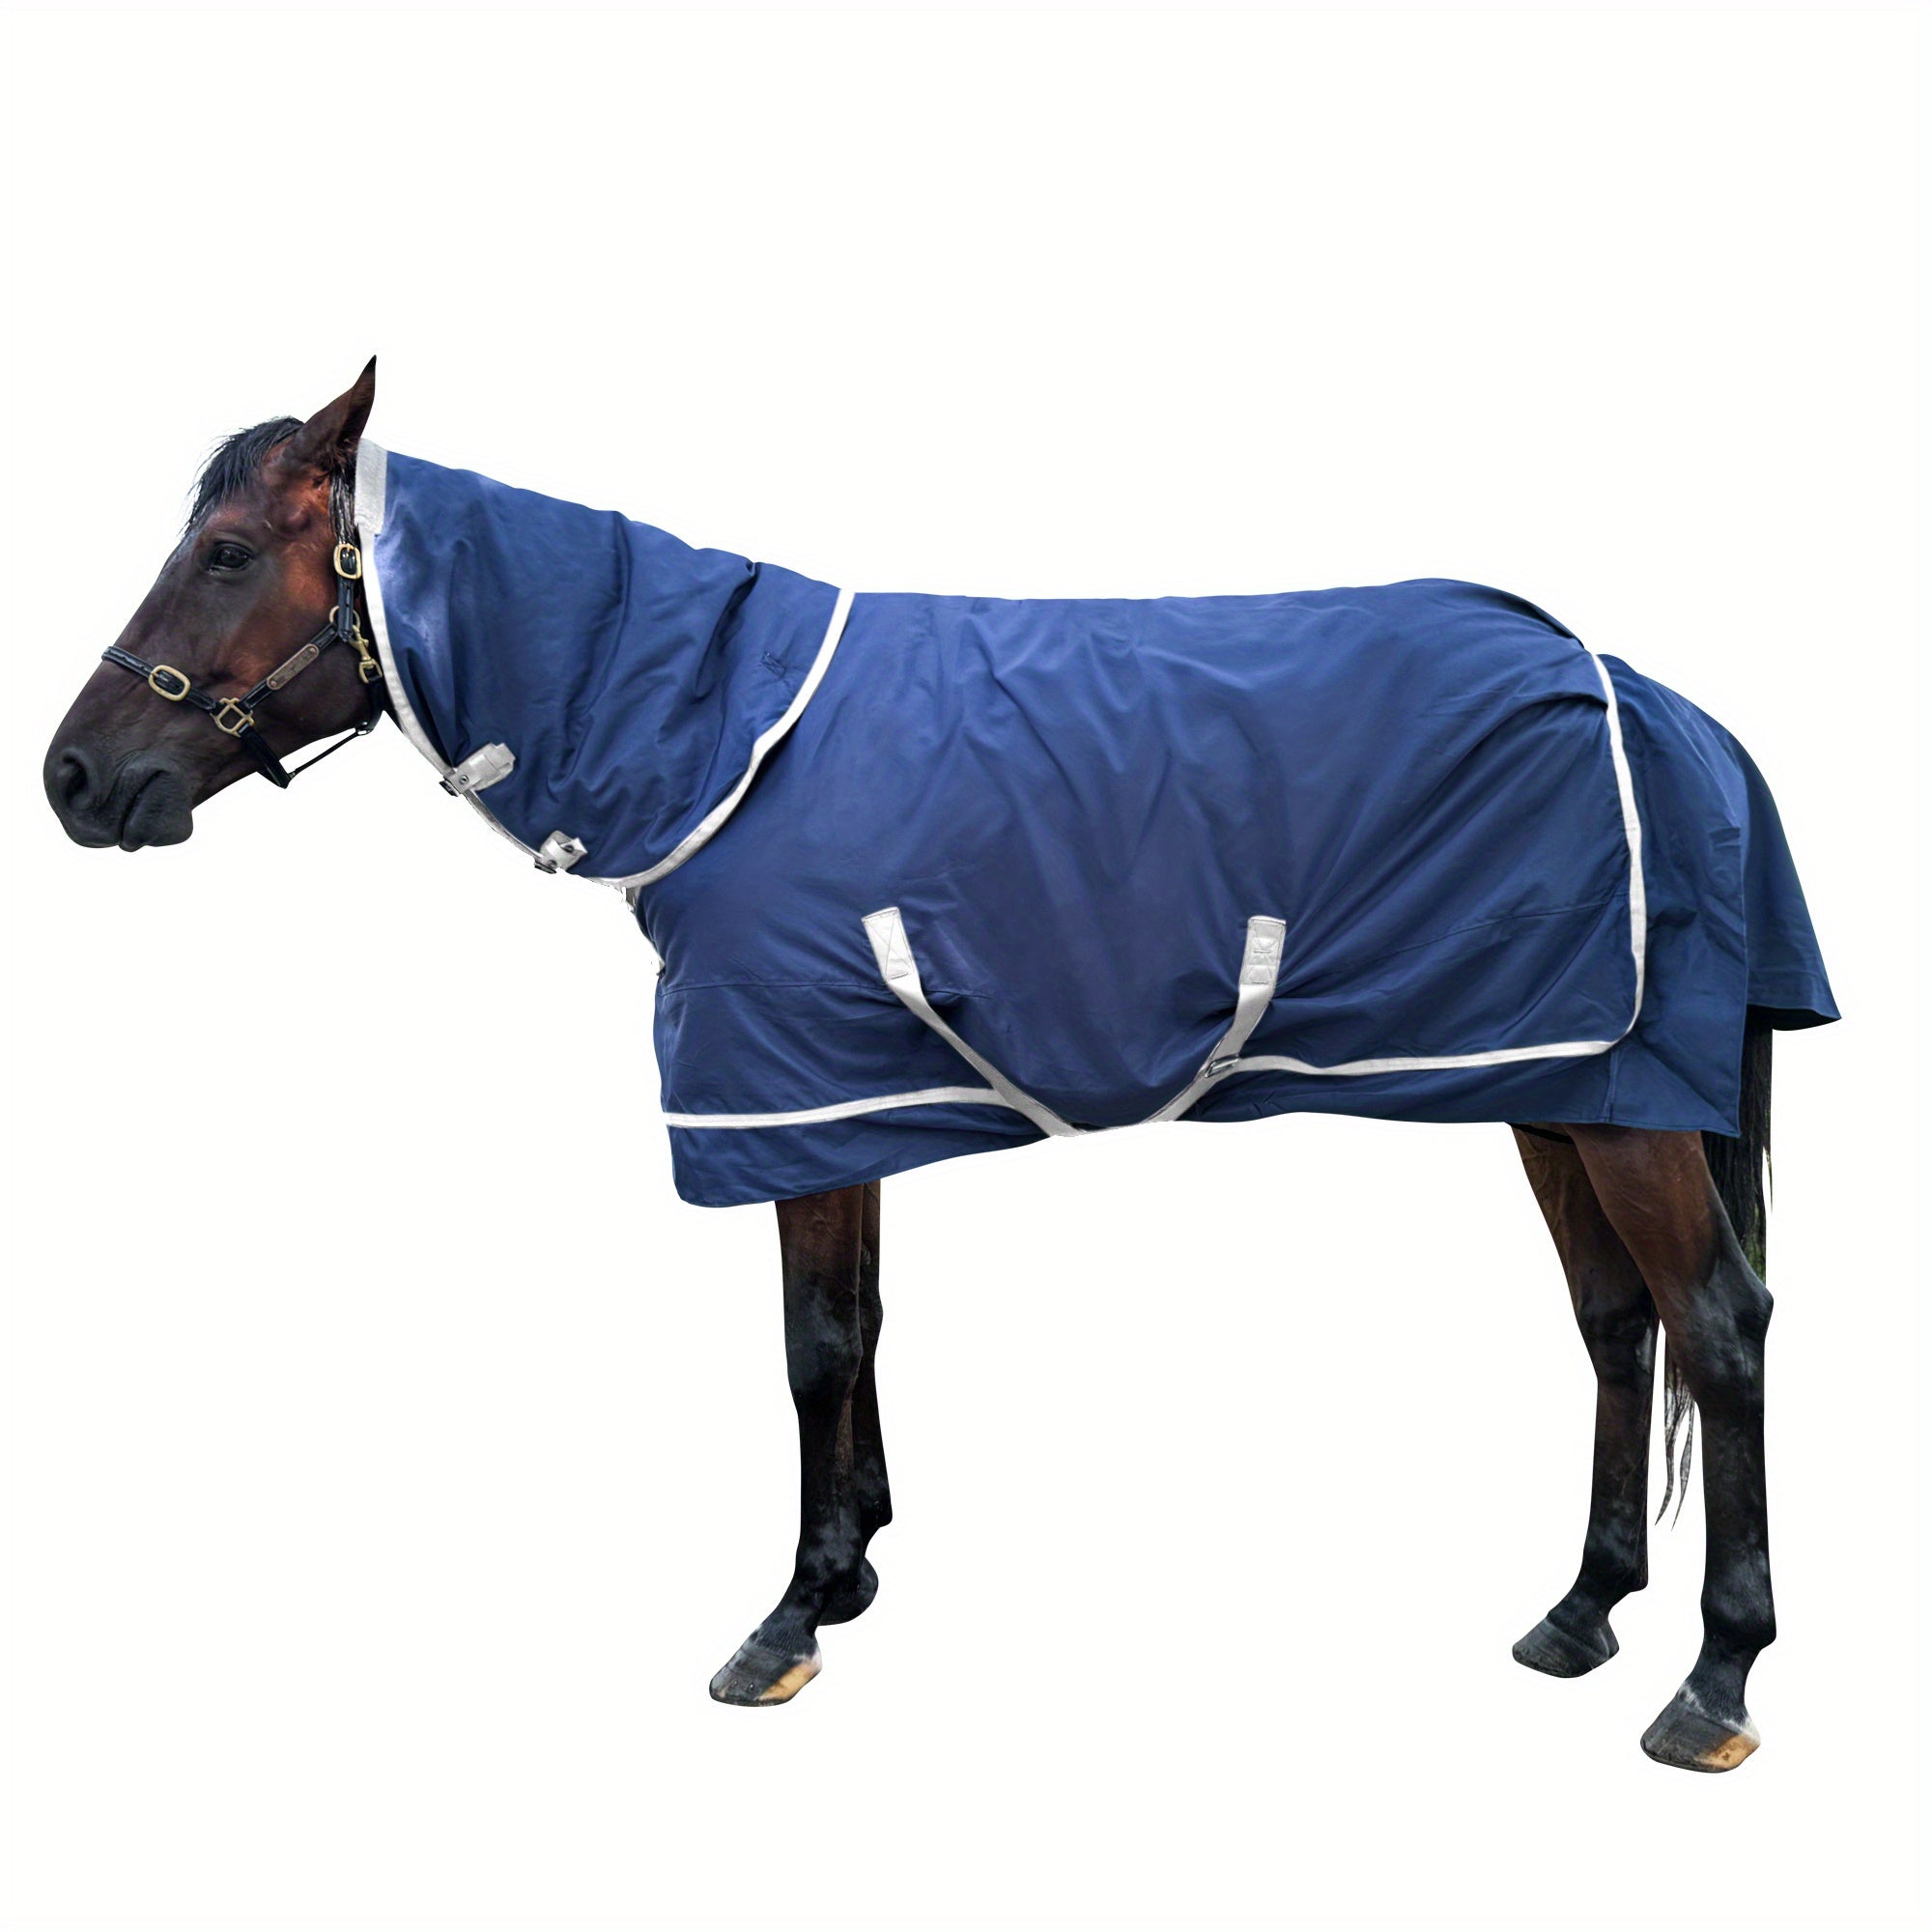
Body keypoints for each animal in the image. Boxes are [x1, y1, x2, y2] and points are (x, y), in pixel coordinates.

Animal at [44, 362, 1837, 1772]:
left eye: (223, 552)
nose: (73, 778)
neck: (718, 739)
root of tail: (1664, 704)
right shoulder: (846, 1099)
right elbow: (864, 1326)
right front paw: (852, 1570)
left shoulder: (785, 1096)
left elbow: (813, 1347)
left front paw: (786, 1617)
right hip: (1564, 1086)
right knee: (1615, 1327)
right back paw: (1581, 1613)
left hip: (1621, 1109)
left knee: (1717, 1329)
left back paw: (1713, 1684)